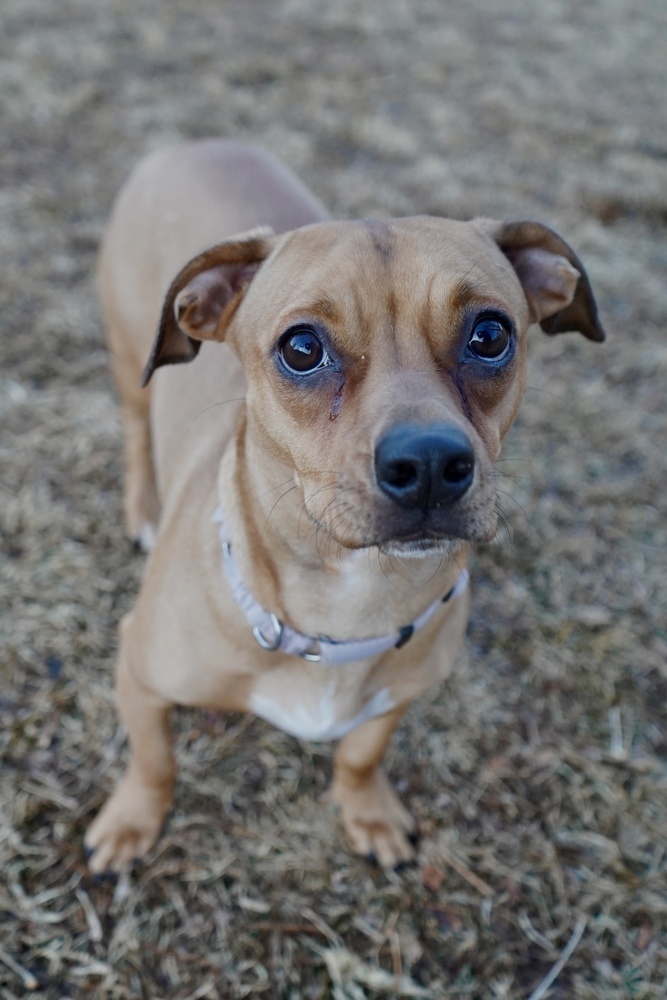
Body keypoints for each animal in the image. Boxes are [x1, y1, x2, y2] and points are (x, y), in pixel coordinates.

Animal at [85, 139, 604, 868]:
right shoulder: (139, 675)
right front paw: (133, 821)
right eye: (301, 348)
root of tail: (197, 143)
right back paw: (142, 509)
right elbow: (153, 761)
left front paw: (368, 811)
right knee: (136, 429)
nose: (428, 465)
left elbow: (361, 754)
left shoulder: (396, 700)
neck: (350, 604)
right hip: (130, 357)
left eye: (490, 335)